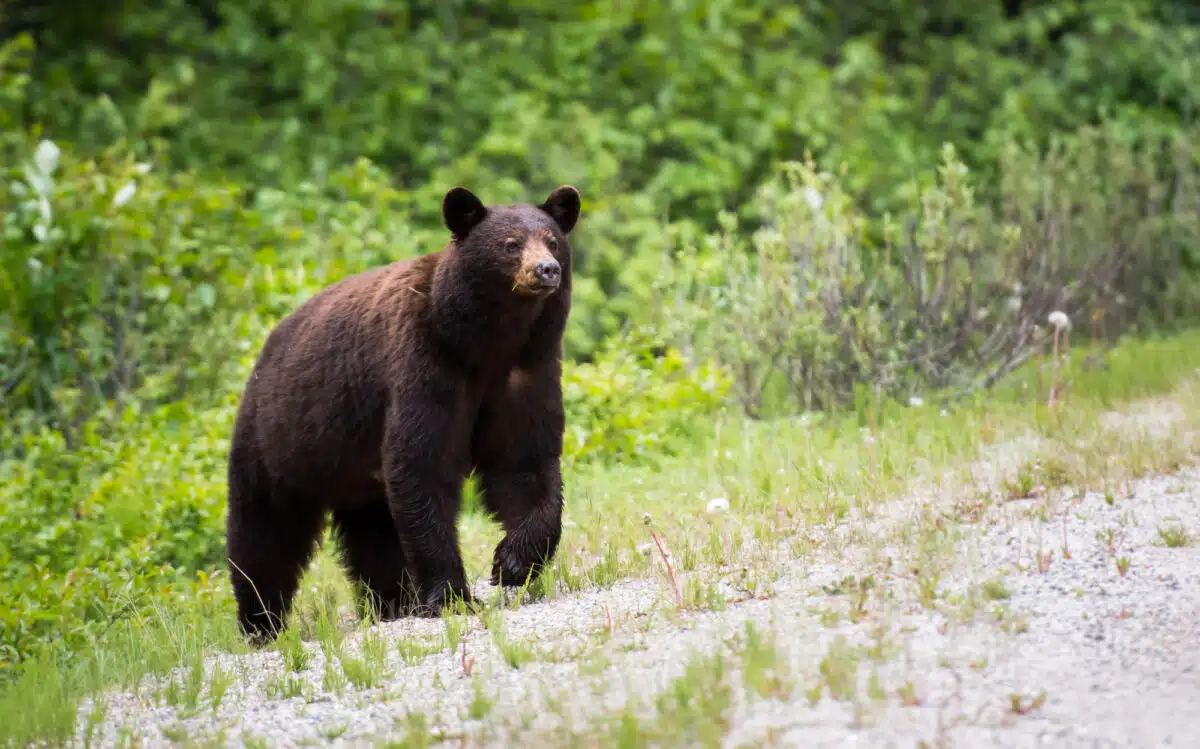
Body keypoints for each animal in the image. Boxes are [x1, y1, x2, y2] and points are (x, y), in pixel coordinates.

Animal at [226, 184, 583, 638]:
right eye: (510, 244)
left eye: (553, 241)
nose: (546, 269)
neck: (486, 343)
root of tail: (262, 355)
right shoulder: (425, 365)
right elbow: (423, 464)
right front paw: (453, 596)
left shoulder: (526, 371)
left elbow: (525, 462)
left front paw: (512, 563)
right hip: (279, 445)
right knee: (264, 534)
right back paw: (261, 622)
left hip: (354, 472)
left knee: (373, 533)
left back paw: (392, 602)